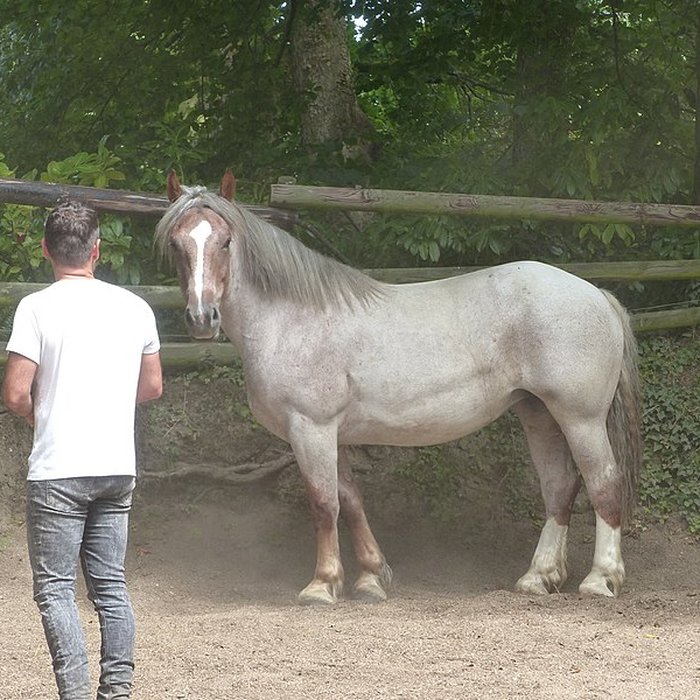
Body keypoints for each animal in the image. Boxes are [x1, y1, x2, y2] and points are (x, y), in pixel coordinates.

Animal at [155, 170, 642, 604]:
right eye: (178, 244)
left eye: (225, 241)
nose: (201, 319)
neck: (292, 320)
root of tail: (597, 295)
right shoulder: (331, 434)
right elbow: (351, 500)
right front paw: (371, 578)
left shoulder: (311, 428)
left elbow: (324, 503)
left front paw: (322, 585)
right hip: (538, 412)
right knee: (559, 487)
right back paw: (538, 578)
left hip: (581, 418)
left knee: (604, 483)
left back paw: (600, 580)